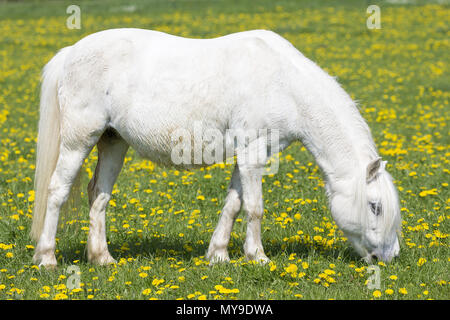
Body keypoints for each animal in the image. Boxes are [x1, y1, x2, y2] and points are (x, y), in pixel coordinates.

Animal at [30, 28, 400, 268]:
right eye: (375, 206)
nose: (391, 256)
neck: (285, 83)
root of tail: (70, 52)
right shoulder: (253, 153)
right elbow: (254, 207)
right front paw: (257, 257)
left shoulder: (249, 155)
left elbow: (233, 204)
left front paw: (218, 255)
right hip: (78, 141)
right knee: (57, 190)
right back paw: (47, 258)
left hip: (112, 142)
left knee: (99, 195)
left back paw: (102, 258)